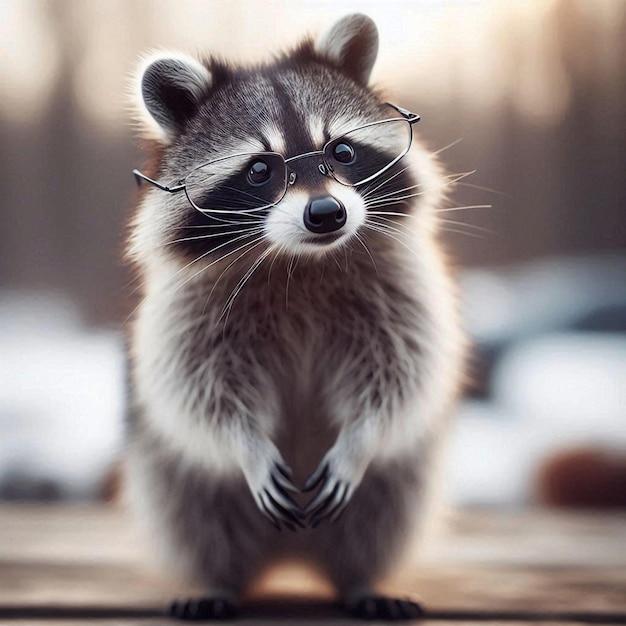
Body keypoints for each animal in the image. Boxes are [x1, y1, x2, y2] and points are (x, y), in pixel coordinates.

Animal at [125, 12, 464, 616]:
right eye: (260, 169)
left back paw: (359, 580)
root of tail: (292, 559)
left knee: (380, 516)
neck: (302, 261)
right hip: (170, 480)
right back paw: (220, 580)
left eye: (343, 152)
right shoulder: (190, 313)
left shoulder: (400, 292)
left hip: (399, 485)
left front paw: (360, 439)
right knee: (199, 520)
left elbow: (398, 377)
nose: (327, 214)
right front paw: (247, 445)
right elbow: (201, 392)